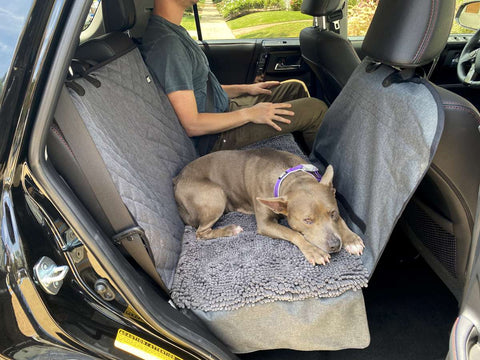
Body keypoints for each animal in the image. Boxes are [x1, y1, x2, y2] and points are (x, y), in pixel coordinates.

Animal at [172, 147, 364, 264]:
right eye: (307, 220)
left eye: (333, 213)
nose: (335, 245)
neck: (291, 176)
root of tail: (177, 179)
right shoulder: (265, 224)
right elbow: (293, 233)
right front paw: (313, 251)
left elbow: (341, 222)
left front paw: (351, 239)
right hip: (216, 194)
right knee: (200, 233)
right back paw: (230, 230)